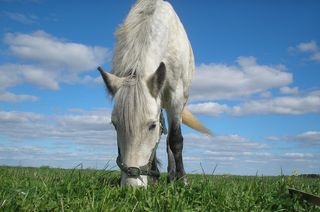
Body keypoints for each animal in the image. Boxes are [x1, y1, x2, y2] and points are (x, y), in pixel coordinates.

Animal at [99, 0, 211, 186]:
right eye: (115, 124)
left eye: (151, 126)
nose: (132, 187)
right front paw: (154, 177)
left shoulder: (175, 99)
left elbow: (175, 141)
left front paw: (183, 180)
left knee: (170, 140)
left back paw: (173, 177)